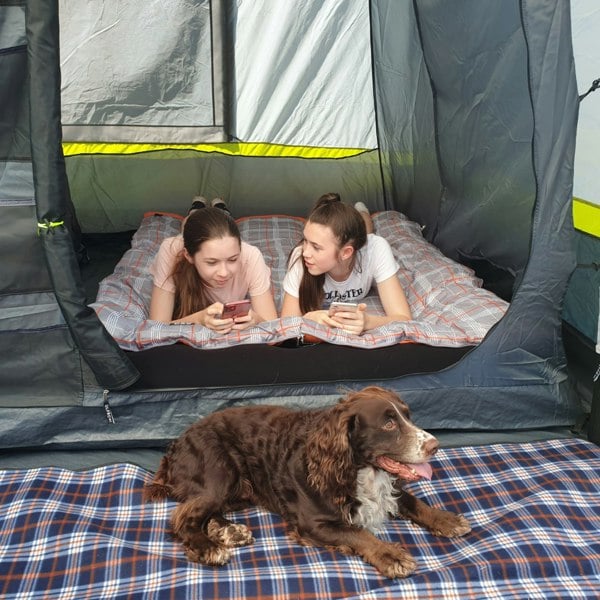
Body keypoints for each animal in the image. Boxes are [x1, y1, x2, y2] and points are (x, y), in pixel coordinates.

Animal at [143, 386, 472, 580]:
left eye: (408, 416)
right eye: (388, 423)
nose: (435, 445)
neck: (353, 469)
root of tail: (175, 445)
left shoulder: (388, 489)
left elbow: (412, 500)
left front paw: (446, 520)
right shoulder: (315, 523)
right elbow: (359, 534)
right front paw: (390, 555)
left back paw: (230, 531)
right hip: (219, 474)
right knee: (183, 517)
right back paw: (209, 547)